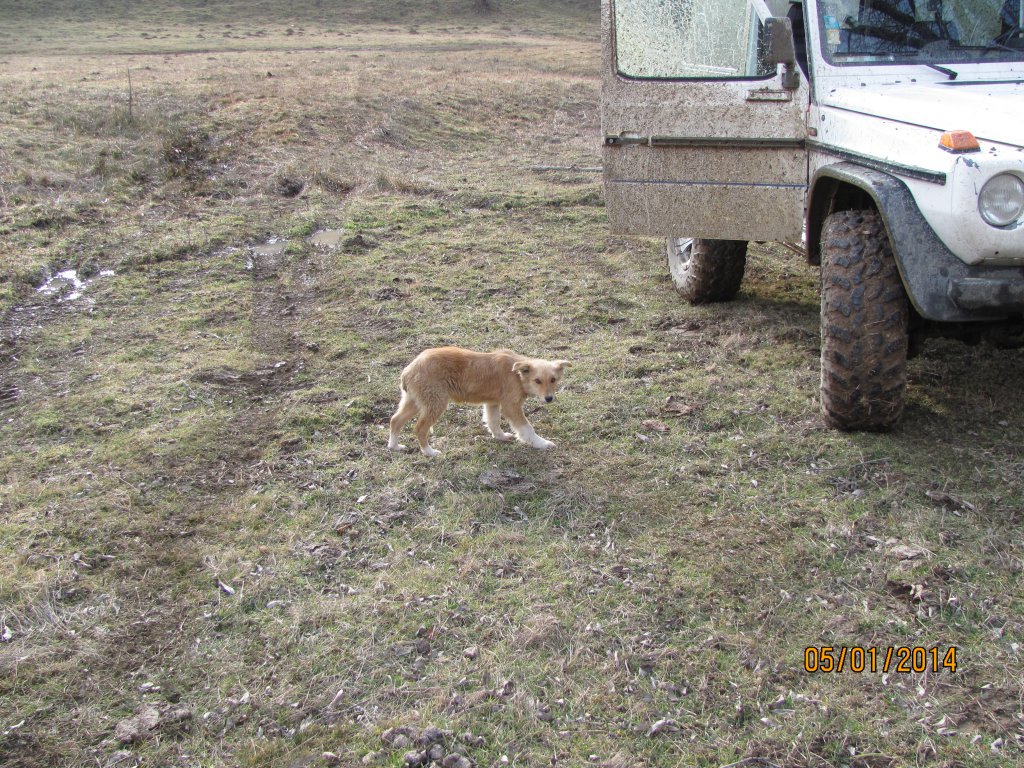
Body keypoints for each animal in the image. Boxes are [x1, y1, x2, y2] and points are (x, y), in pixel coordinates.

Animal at [389, 348, 569, 456]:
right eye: (537, 381)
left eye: (553, 380)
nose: (549, 398)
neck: (517, 374)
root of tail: (409, 369)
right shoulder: (511, 406)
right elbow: (527, 428)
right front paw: (541, 443)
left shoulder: (493, 403)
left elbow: (493, 422)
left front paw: (501, 437)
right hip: (435, 403)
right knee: (419, 428)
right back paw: (429, 452)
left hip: (414, 402)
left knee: (395, 420)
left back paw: (394, 446)